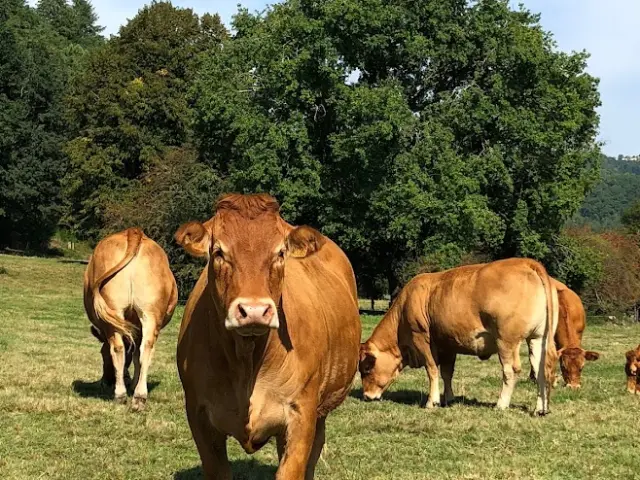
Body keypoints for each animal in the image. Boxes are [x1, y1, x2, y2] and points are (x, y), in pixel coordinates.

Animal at [83, 228, 178, 410]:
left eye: (102, 353)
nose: (106, 381)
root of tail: (133, 232)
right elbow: (136, 355)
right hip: (150, 313)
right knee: (146, 348)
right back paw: (139, 397)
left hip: (114, 312)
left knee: (118, 348)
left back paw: (120, 395)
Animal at [175, 193, 361, 480]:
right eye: (218, 252)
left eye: (280, 253)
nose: (254, 310)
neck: (247, 361)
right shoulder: (199, 416)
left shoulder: (301, 416)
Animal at [359, 258, 559, 415]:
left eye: (366, 368)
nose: (366, 396)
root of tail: (525, 262)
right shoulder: (448, 344)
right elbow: (447, 373)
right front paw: (449, 398)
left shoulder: (421, 338)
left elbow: (432, 369)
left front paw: (432, 401)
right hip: (538, 338)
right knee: (540, 370)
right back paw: (540, 408)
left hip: (506, 340)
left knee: (511, 370)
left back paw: (501, 404)